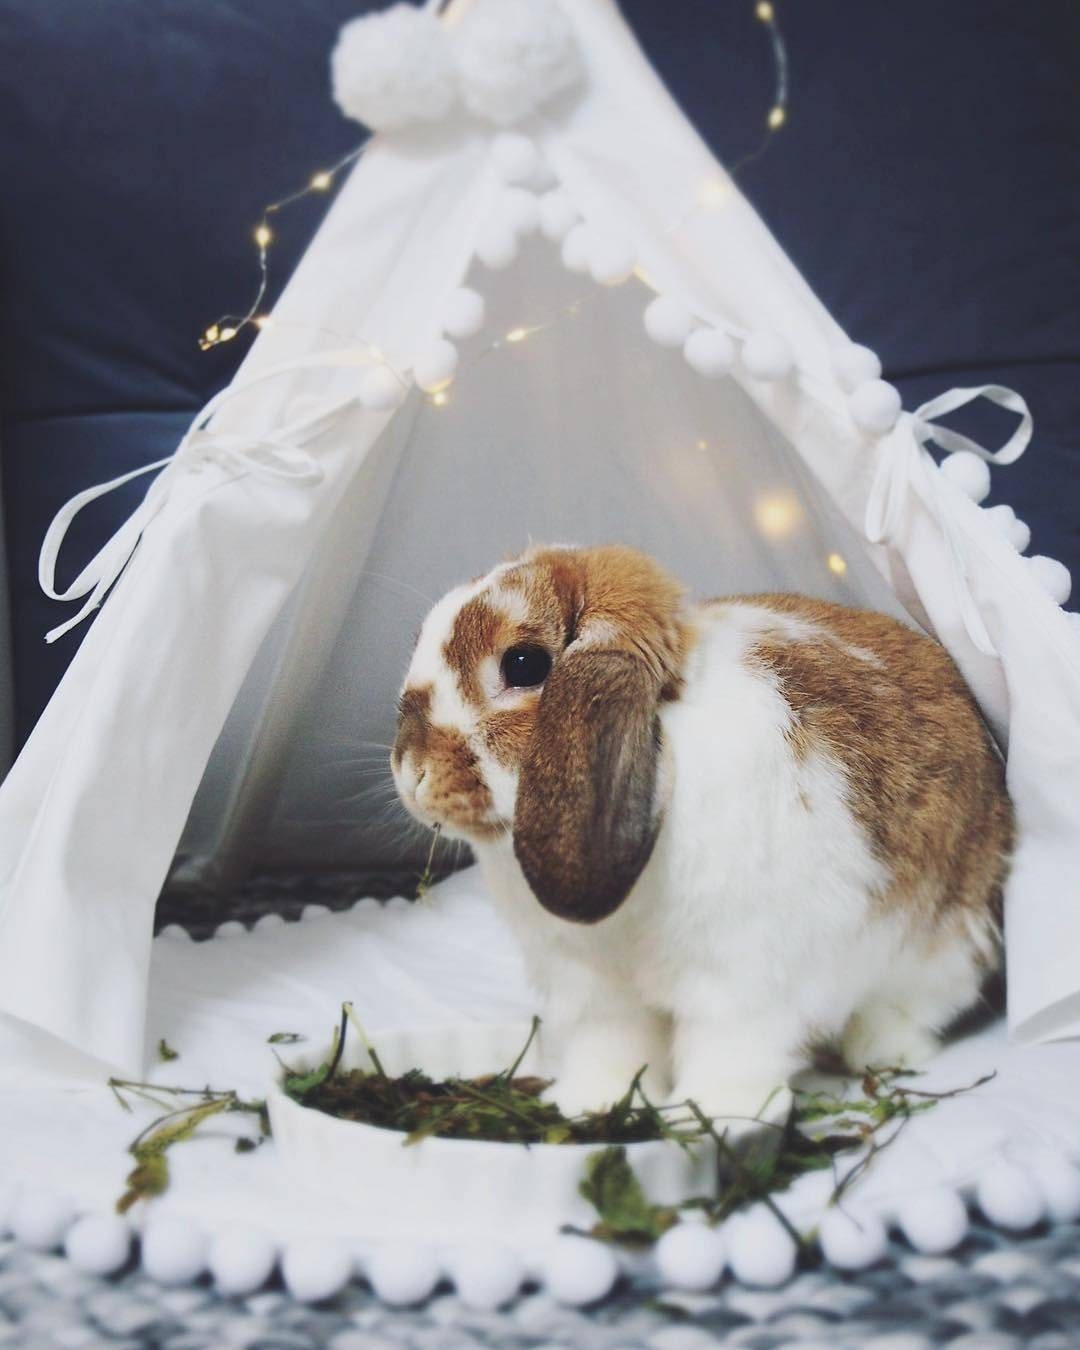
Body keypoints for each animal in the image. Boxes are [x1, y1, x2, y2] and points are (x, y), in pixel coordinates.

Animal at [391, 544, 1013, 1125]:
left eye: (523, 664)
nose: (410, 771)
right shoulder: (592, 987)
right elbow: (610, 1047)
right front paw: (592, 1105)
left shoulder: (737, 977)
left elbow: (727, 1049)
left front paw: (711, 1115)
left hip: (939, 949)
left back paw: (877, 1051)